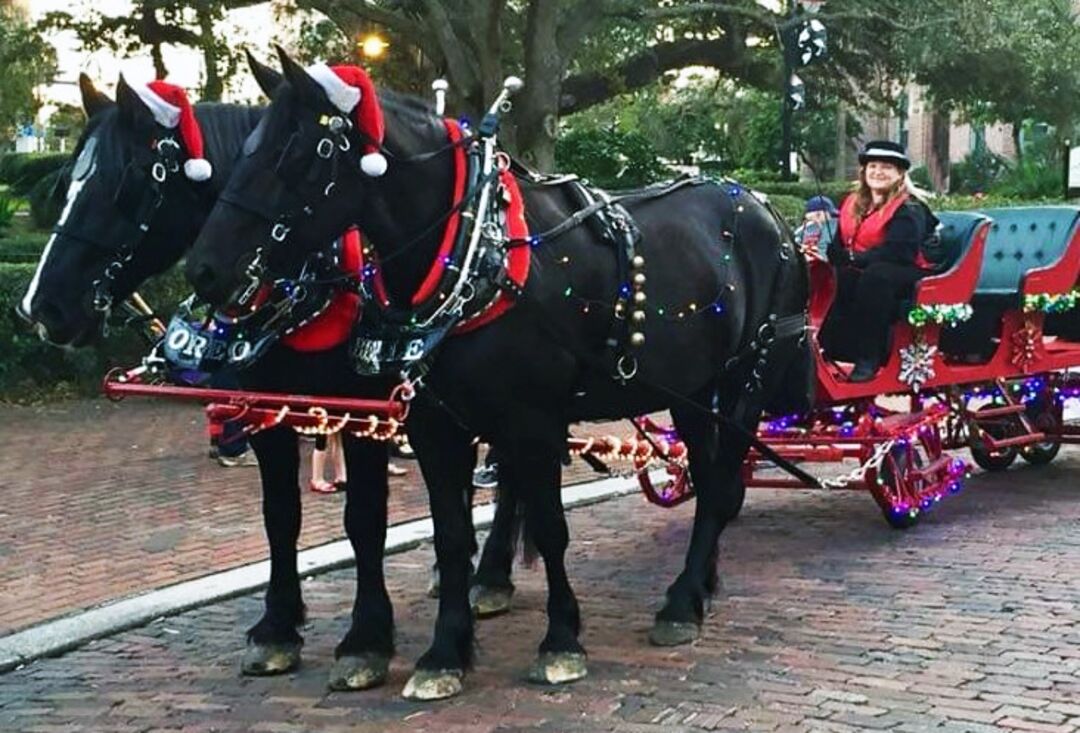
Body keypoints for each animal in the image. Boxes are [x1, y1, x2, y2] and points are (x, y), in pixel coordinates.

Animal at [15, 65, 406, 690]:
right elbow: (280, 516)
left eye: (126, 184)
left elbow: (364, 518)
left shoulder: (366, 409)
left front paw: (367, 638)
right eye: (65, 185)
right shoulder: (264, 408)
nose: (40, 306)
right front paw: (276, 627)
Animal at [185, 48, 812, 703]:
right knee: (714, 476)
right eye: (248, 147)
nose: (205, 269)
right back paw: (700, 585)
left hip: (745, 381)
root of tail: (766, 207)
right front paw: (444, 653)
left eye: (299, 154)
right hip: (693, 388)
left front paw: (560, 642)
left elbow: (551, 527)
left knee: (719, 482)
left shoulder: (532, 420)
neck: (476, 253)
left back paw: (682, 603)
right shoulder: (434, 424)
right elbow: (450, 534)